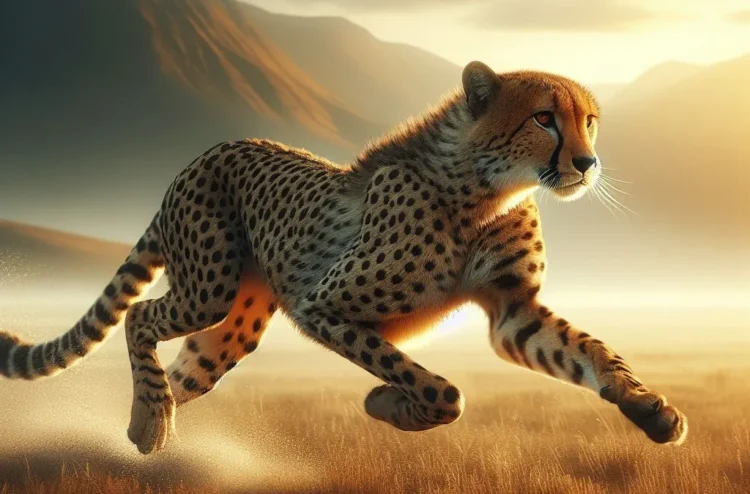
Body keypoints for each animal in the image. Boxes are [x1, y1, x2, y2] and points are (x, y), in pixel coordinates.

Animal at [0, 61, 687, 454]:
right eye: (545, 118)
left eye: (590, 121)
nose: (587, 163)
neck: (489, 188)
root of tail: (206, 152)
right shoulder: (324, 307)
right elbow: (441, 391)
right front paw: (388, 405)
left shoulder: (512, 311)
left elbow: (589, 351)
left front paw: (651, 410)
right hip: (209, 287)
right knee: (141, 315)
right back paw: (147, 423)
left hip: (234, 326)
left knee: (184, 372)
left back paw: (152, 422)